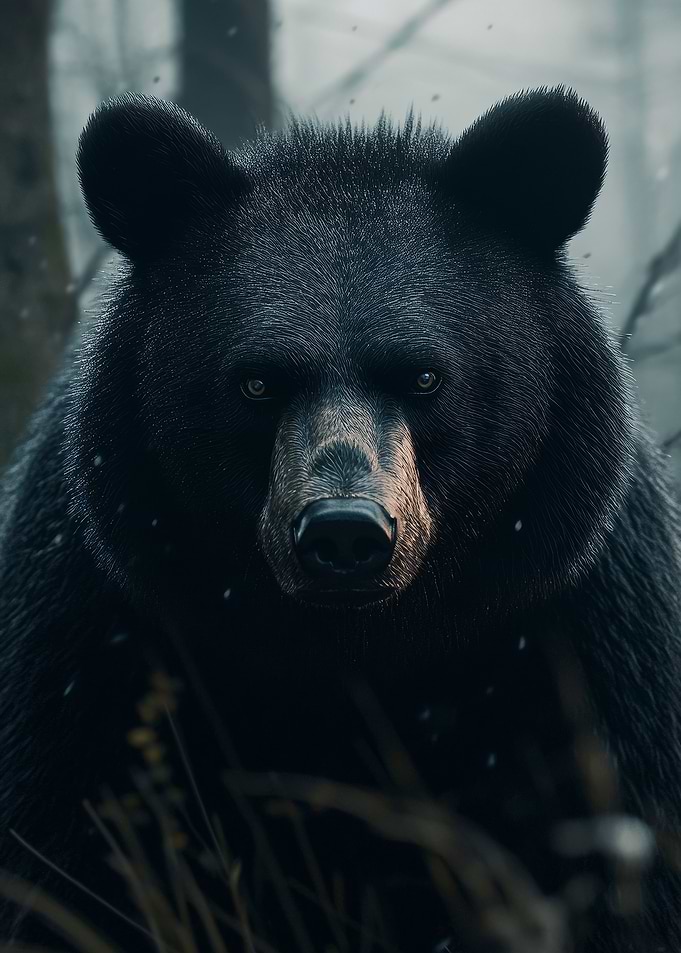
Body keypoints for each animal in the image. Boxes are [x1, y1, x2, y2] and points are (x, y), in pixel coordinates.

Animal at [1, 85, 681, 953]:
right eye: (257, 381)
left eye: (424, 375)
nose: (344, 532)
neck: (352, 651)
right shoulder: (94, 643)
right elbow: (71, 858)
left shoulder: (585, 650)